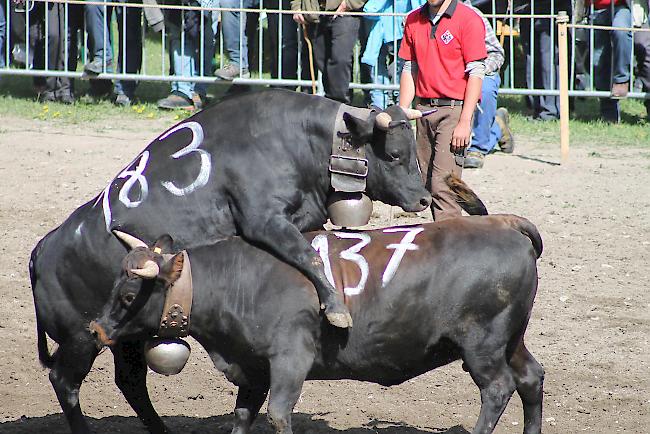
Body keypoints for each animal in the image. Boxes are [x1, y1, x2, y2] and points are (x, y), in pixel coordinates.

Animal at [31, 89, 486, 434]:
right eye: (393, 155)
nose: (423, 199)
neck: (296, 141)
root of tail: (40, 251)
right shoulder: (263, 218)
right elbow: (306, 255)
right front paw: (336, 308)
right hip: (82, 338)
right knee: (65, 382)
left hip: (126, 334)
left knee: (130, 382)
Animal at [91, 216, 544, 434]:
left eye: (129, 296)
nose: (96, 328)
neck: (240, 280)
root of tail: (504, 225)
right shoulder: (253, 367)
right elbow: (242, 415)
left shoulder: (291, 359)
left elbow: (277, 414)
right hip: (512, 340)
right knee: (531, 378)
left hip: (482, 344)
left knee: (499, 388)